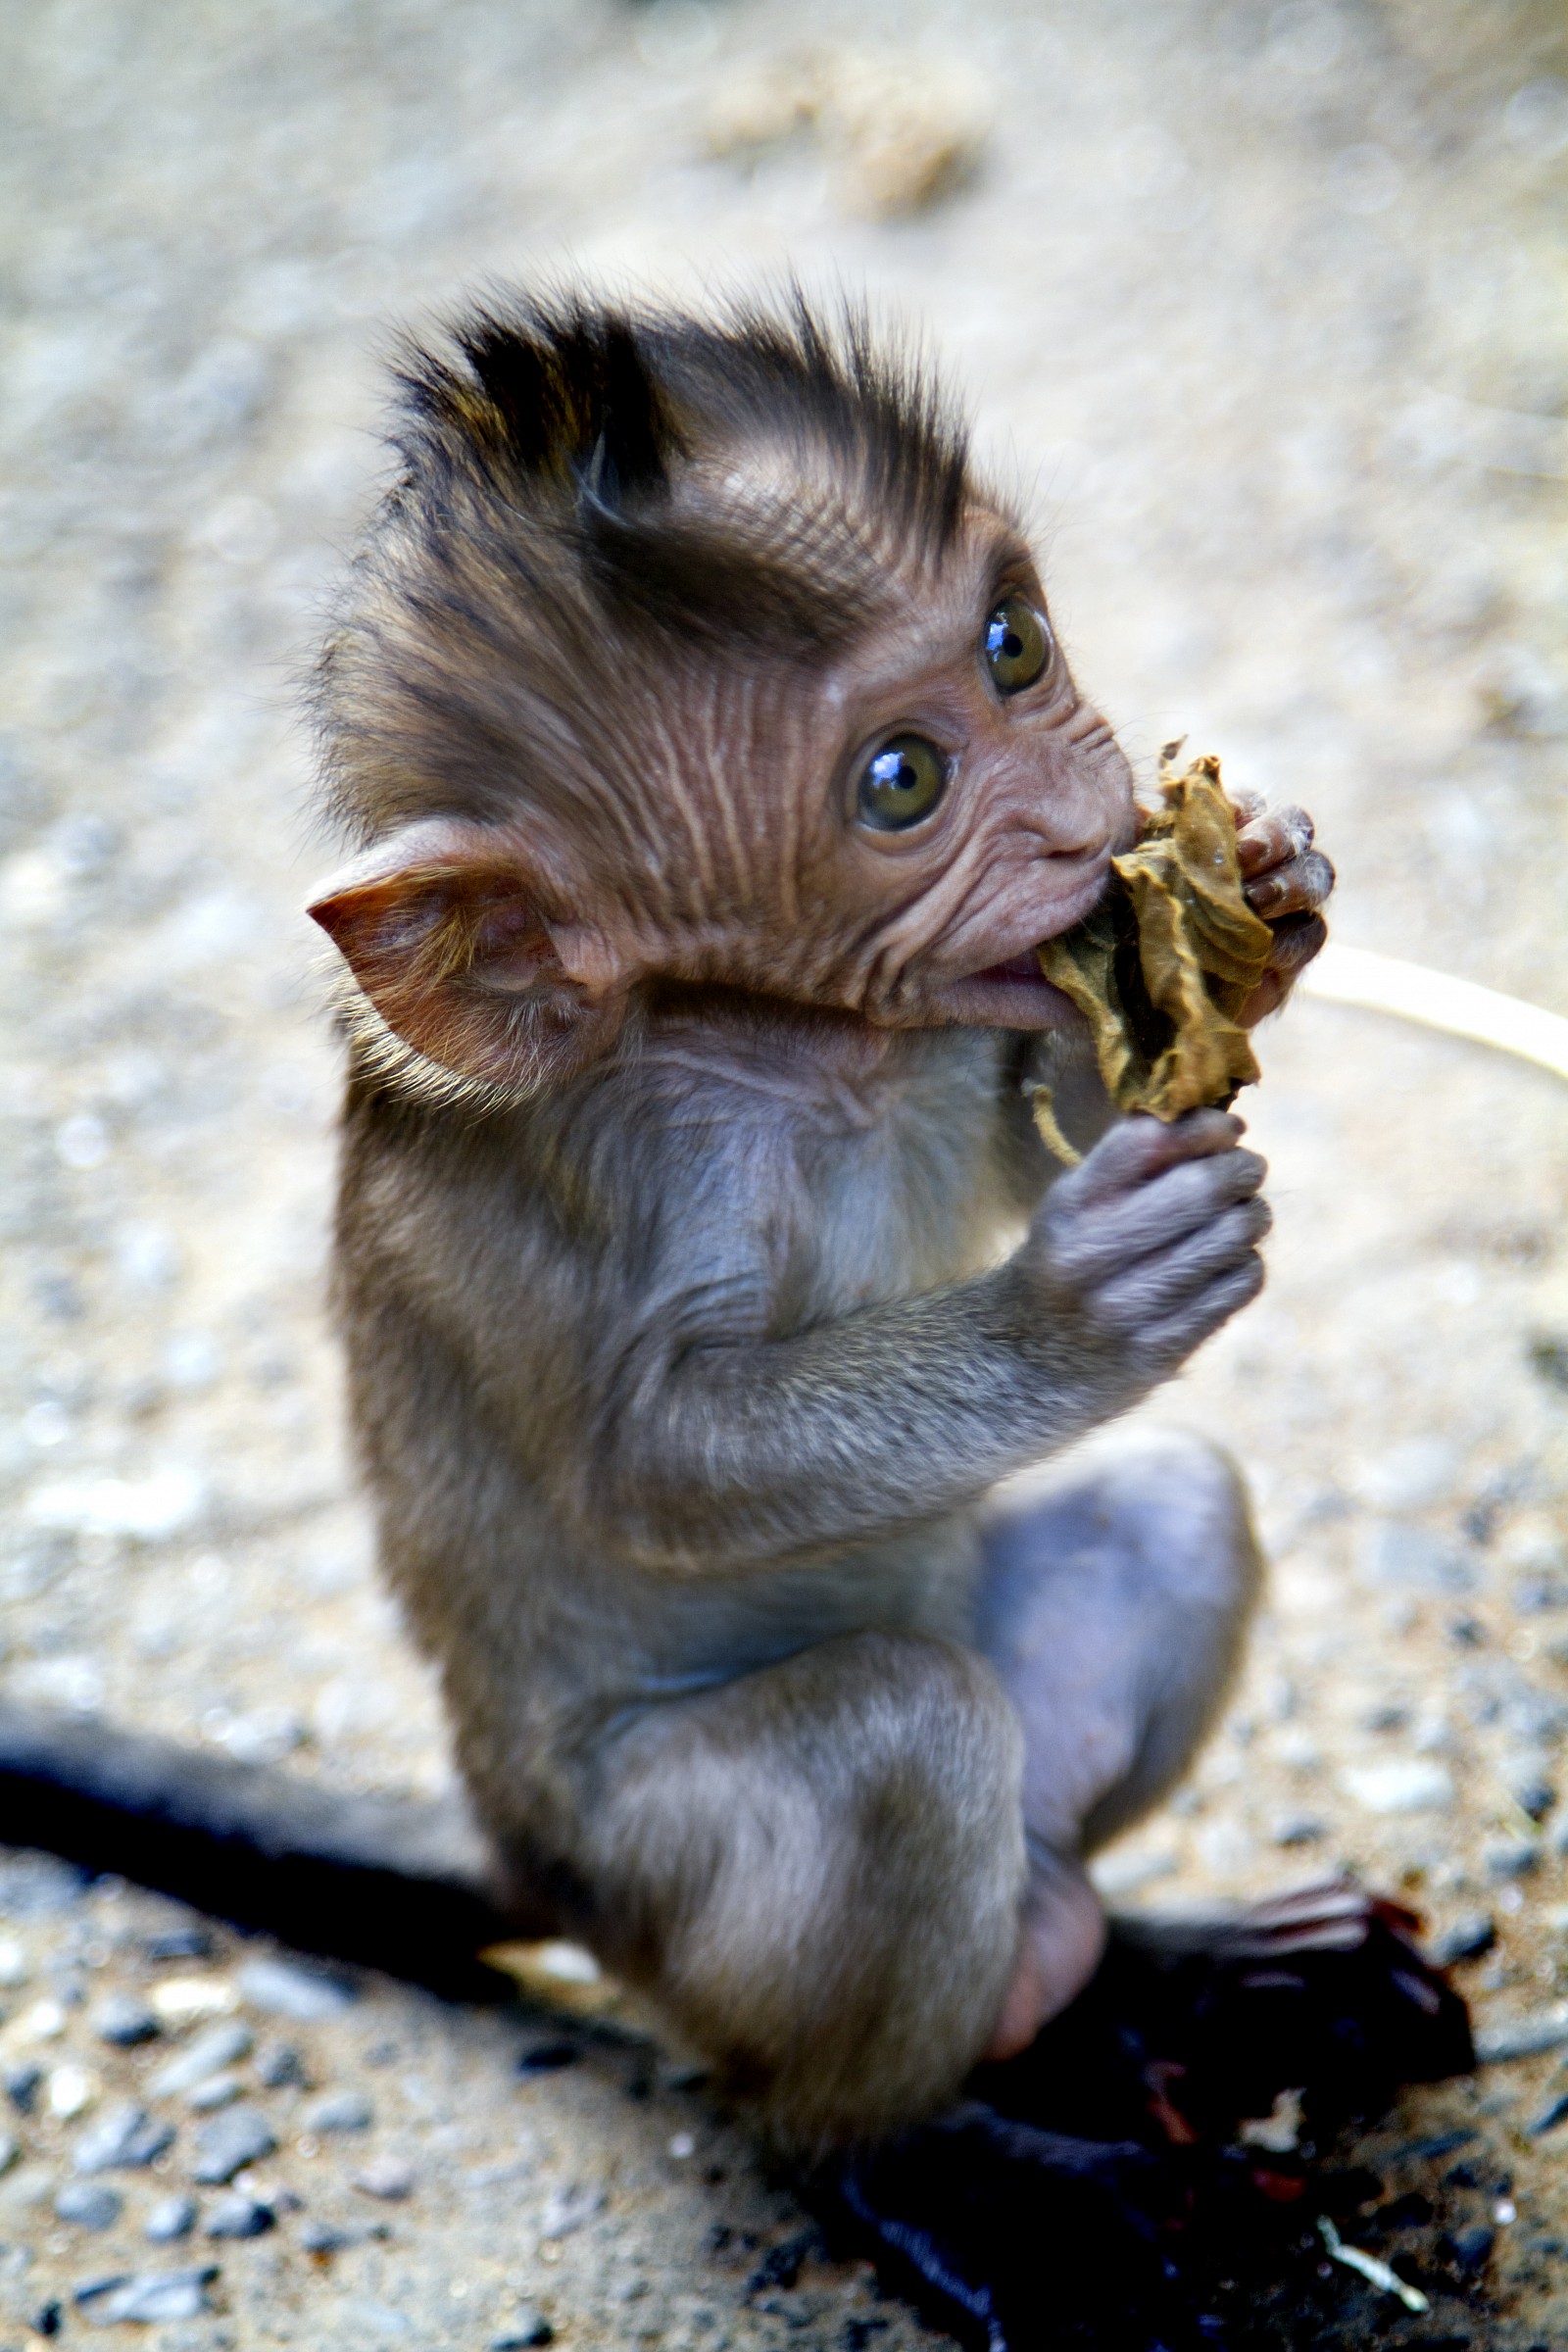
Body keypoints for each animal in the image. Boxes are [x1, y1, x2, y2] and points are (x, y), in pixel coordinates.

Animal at [0, 291, 1468, 2338]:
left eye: (1014, 646)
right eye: (902, 784)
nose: (1089, 813)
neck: (779, 1038)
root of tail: (519, 1844)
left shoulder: (939, 1041)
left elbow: (1039, 1107)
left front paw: (1262, 887)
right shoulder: (612, 1161)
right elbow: (658, 1466)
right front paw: (1077, 1311)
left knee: (1160, 1548)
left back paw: (1160, 1975)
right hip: (657, 1891)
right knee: (886, 1774)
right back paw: (941, 2163)